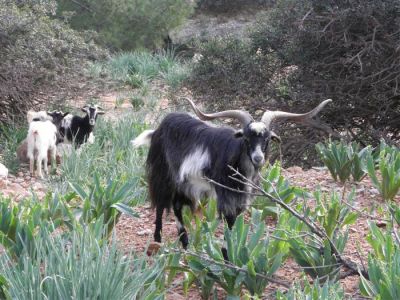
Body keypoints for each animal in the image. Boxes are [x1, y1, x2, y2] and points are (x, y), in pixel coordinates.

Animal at [131, 98, 332, 248]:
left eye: (267, 139)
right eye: (246, 138)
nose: (258, 158)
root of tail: (158, 129)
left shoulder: (240, 199)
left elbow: (234, 225)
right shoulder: (226, 196)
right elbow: (228, 224)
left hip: (187, 183)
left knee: (177, 205)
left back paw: (186, 244)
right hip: (163, 174)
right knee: (161, 204)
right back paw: (158, 241)